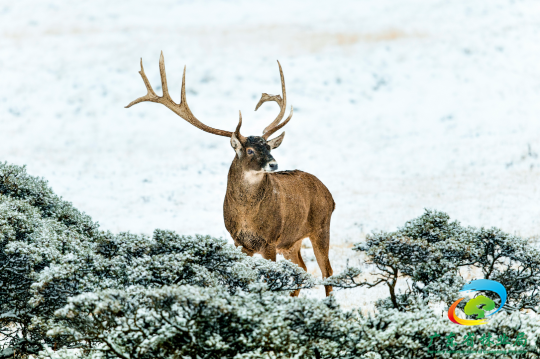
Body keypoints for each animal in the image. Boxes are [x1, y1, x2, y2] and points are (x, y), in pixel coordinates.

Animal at [126, 51, 336, 298]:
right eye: (250, 150)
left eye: (269, 147)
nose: (273, 164)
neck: (247, 216)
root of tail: (329, 194)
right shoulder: (238, 241)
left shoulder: (270, 240)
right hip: (291, 241)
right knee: (302, 268)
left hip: (321, 226)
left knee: (327, 271)